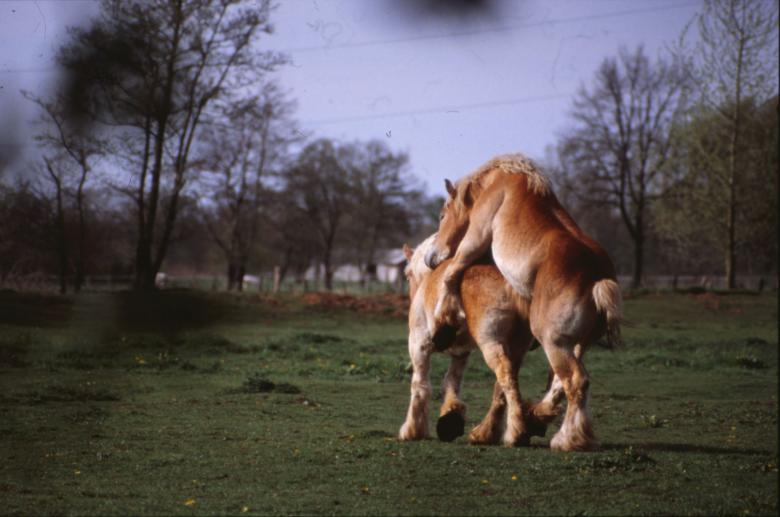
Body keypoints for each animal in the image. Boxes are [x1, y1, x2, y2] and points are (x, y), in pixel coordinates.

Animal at [398, 234, 566, 446]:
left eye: (407, 274)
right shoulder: (461, 353)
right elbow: (450, 383)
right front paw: (451, 416)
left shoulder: (418, 345)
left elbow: (420, 385)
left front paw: (413, 429)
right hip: (516, 347)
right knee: (504, 385)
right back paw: (489, 432)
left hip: (490, 343)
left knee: (505, 377)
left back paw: (516, 431)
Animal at [424, 154, 622, 451]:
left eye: (442, 215)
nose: (430, 258)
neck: (502, 183)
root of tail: (597, 279)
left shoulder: (474, 241)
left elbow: (452, 273)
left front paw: (442, 324)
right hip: (574, 344)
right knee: (560, 383)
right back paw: (536, 418)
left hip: (553, 342)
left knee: (574, 382)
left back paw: (566, 438)